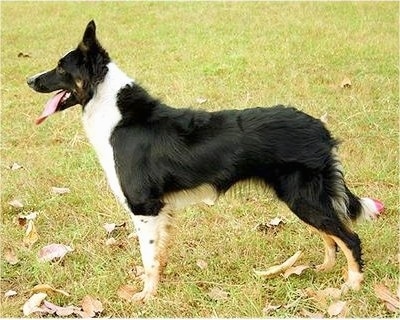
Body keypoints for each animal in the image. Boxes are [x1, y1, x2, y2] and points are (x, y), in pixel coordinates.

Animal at [26, 21, 382, 302]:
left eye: (61, 68)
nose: (29, 80)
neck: (116, 115)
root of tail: (320, 128)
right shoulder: (161, 210)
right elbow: (159, 256)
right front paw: (157, 289)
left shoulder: (144, 207)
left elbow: (148, 258)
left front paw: (146, 297)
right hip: (304, 199)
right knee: (331, 236)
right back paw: (322, 269)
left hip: (302, 198)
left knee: (349, 237)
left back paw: (351, 285)